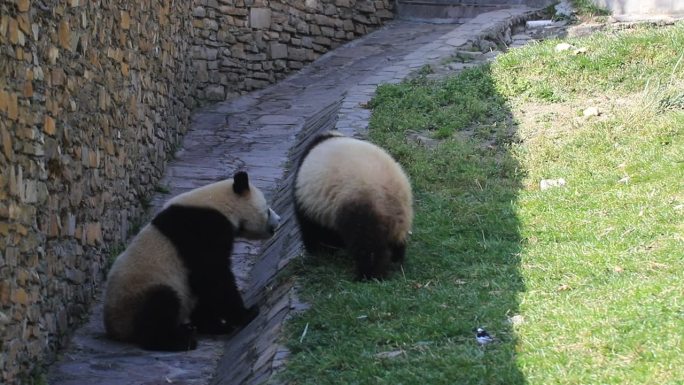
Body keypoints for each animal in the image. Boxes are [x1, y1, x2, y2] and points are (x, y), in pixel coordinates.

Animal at [102, 172, 284, 350]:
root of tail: (116, 330)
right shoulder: (202, 231)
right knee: (159, 306)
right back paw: (180, 340)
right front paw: (247, 313)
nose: (280, 219)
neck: (219, 205)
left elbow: (204, 285)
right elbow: (214, 276)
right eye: (267, 209)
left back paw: (191, 328)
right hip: (139, 292)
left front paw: (217, 325)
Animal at [292, 132, 414, 280]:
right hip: (400, 216)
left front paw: (319, 251)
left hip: (362, 205)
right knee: (395, 242)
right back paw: (395, 260)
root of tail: (393, 195)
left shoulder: (309, 203)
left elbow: (313, 229)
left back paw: (368, 275)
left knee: (367, 245)